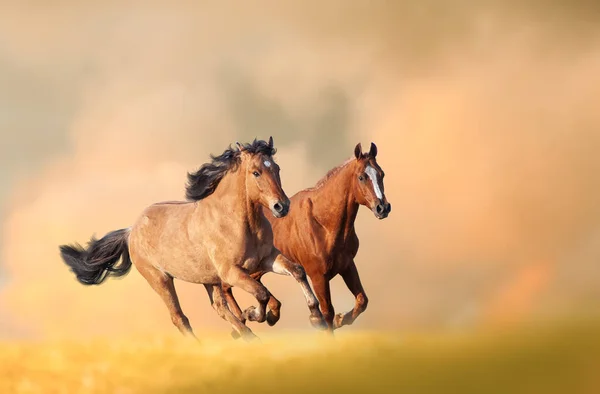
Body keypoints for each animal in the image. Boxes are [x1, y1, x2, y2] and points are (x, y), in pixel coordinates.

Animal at [57, 139, 324, 342]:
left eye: (276, 169)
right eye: (256, 172)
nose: (282, 206)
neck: (237, 222)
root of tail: (131, 231)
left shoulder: (266, 259)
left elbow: (296, 271)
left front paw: (314, 318)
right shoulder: (231, 273)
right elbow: (261, 293)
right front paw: (255, 313)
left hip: (208, 280)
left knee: (219, 308)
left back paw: (248, 336)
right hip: (160, 279)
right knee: (180, 317)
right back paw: (204, 345)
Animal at [223, 142, 392, 332]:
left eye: (381, 174)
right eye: (362, 177)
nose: (382, 208)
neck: (323, 223)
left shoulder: (347, 265)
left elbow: (362, 300)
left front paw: (341, 319)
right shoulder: (318, 276)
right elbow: (327, 313)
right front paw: (323, 321)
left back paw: (265, 314)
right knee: (225, 287)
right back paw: (243, 322)